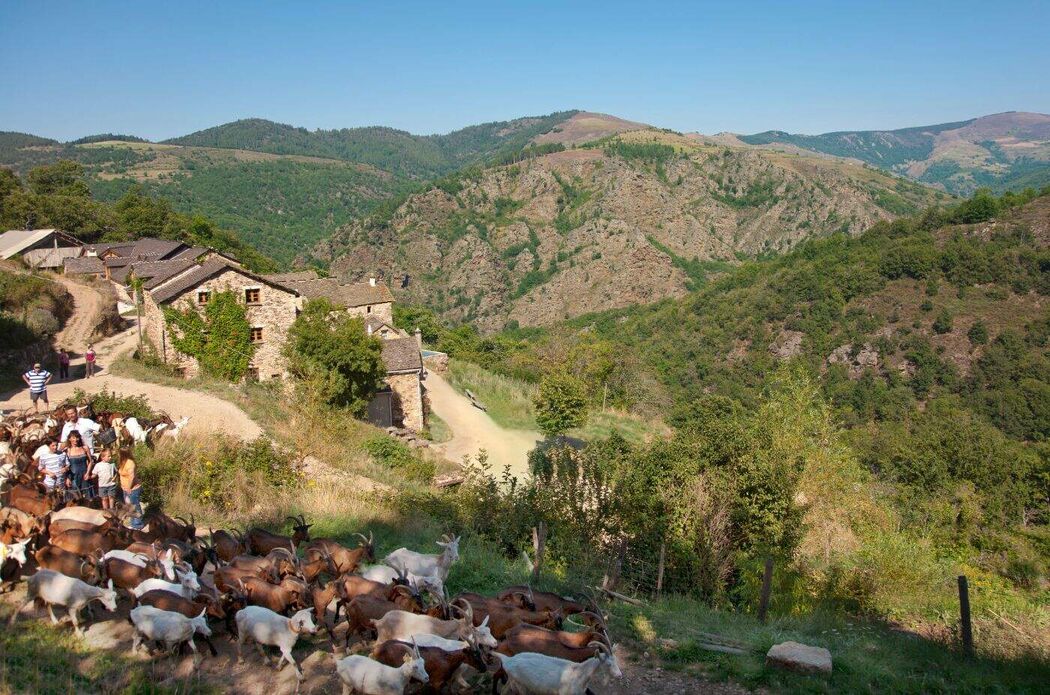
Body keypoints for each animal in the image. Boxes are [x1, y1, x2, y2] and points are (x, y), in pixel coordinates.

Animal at [493, 646, 621, 695]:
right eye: (609, 664)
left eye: (616, 661)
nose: (620, 675)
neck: (579, 673)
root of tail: (508, 659)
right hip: (520, 684)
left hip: (511, 680)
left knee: (503, 690)